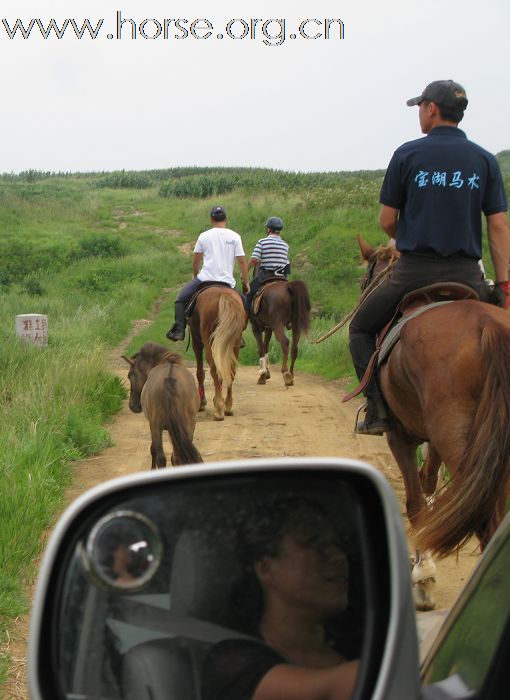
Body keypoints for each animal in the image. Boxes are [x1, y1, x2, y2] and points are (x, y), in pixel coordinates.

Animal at [190, 286, 248, 418]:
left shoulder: (196, 342)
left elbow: (200, 373)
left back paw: (219, 408)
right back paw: (227, 406)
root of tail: (222, 294)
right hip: (234, 342)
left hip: (208, 342)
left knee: (214, 369)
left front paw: (202, 402)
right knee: (231, 370)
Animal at [356, 237, 510, 608]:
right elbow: (427, 485)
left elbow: (415, 505)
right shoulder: (432, 437)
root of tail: (487, 327)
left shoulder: (400, 436)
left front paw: (422, 576)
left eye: (364, 279)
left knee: (487, 519)